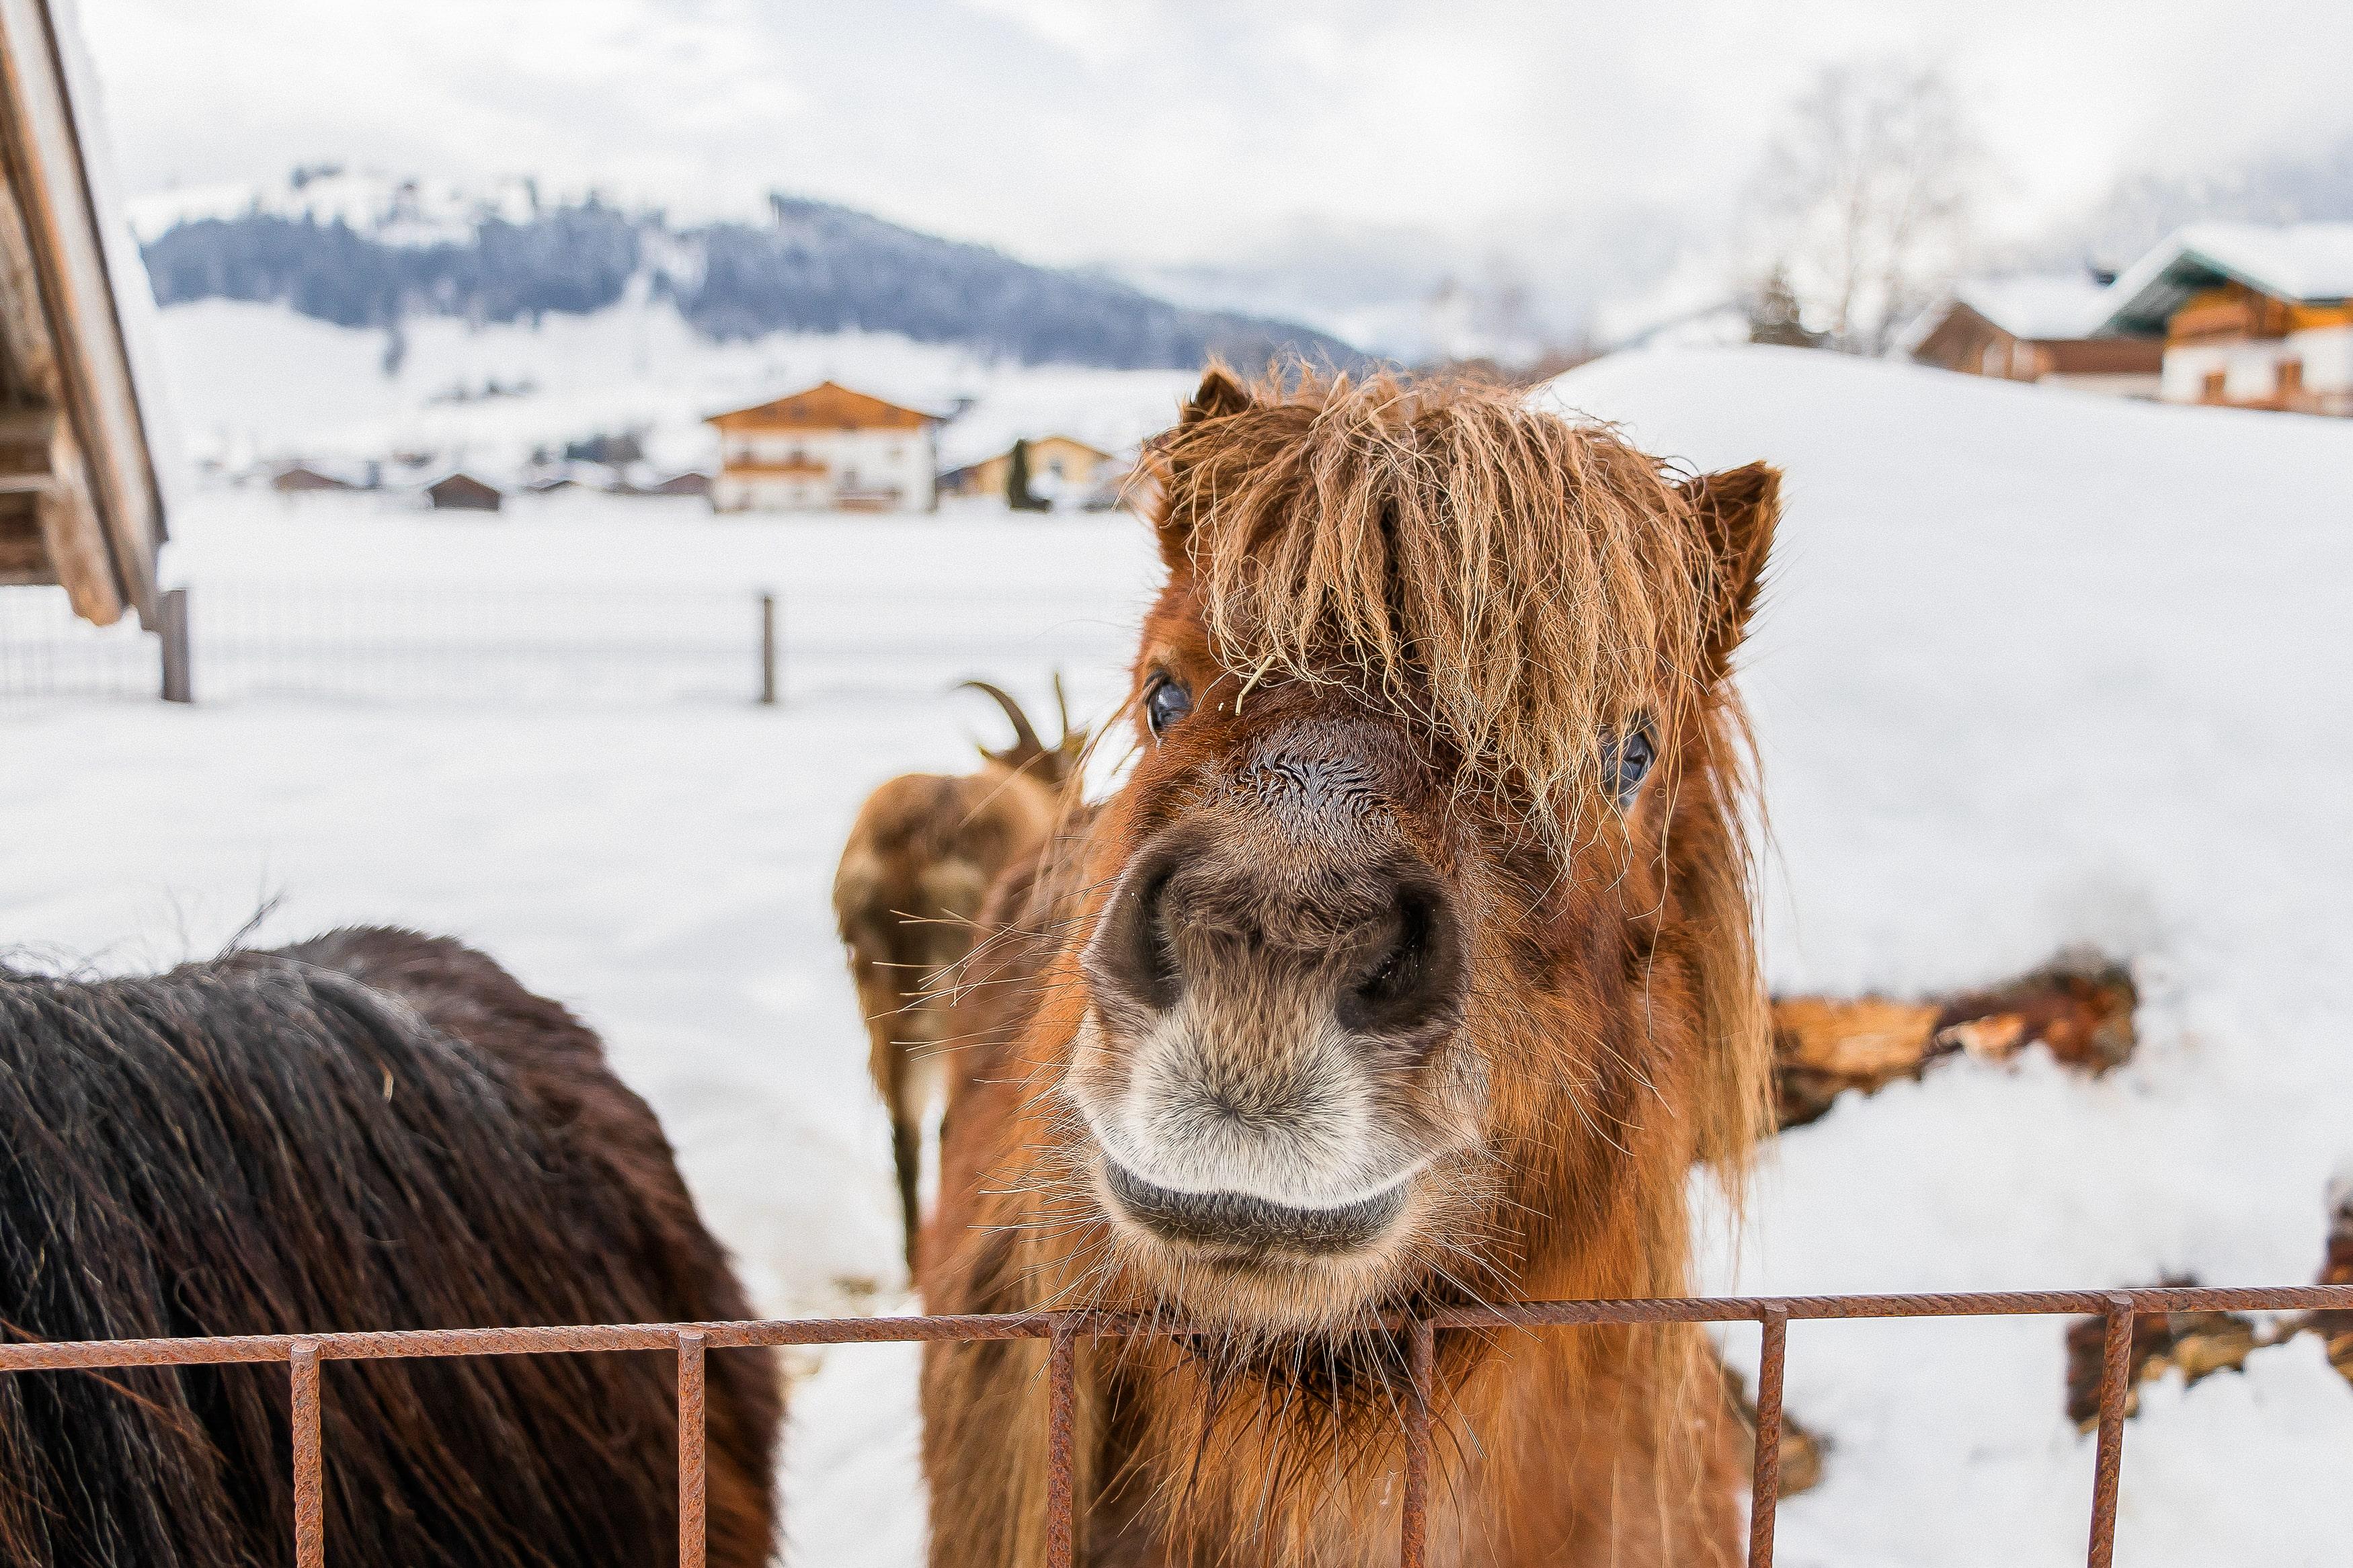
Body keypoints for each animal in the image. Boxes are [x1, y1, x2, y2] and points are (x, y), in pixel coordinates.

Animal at [834, 679, 1087, 1274]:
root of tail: (915, 840)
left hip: (882, 997)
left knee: (903, 1129)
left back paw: (913, 1258)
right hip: (955, 994)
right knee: (947, 1120)